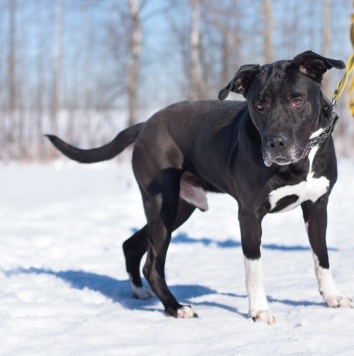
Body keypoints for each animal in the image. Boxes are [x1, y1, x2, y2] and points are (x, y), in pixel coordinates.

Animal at [47, 51, 352, 324]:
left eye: (297, 101)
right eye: (259, 105)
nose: (275, 143)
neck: (301, 162)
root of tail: (146, 123)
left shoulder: (317, 207)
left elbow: (321, 257)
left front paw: (333, 297)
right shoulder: (250, 214)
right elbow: (254, 268)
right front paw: (259, 311)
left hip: (179, 208)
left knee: (131, 245)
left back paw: (139, 291)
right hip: (163, 206)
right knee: (152, 265)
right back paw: (176, 307)